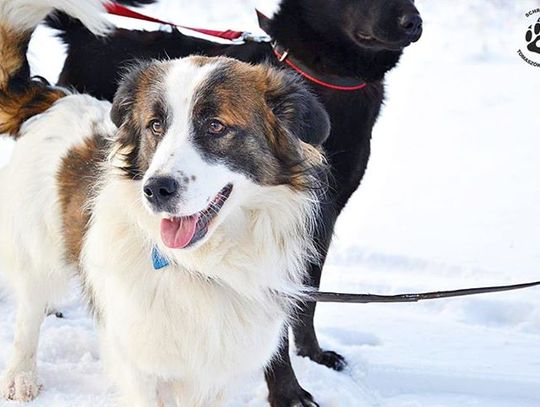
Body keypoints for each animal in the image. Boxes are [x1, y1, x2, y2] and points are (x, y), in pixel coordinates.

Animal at [0, 1, 330, 406]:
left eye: (216, 125)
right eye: (156, 125)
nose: (156, 189)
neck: (201, 266)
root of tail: (56, 98)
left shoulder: (215, 378)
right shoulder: (140, 369)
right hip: (36, 251)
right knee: (29, 312)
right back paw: (21, 375)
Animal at [48, 1, 422, 406]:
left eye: (215, 126)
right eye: (156, 125)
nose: (413, 23)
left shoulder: (321, 221)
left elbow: (304, 302)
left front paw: (312, 356)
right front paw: (287, 390)